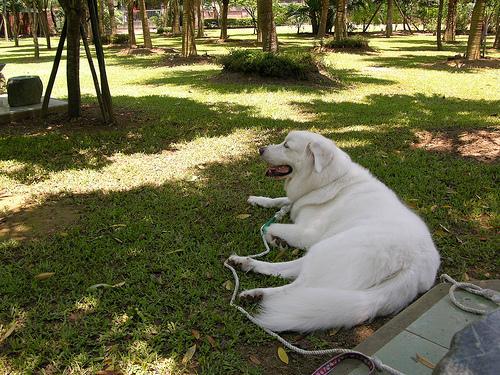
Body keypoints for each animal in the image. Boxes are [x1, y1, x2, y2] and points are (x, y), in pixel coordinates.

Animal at [229, 131, 440, 332]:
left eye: (286, 146)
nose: (261, 149)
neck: (329, 180)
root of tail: (413, 268)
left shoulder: (306, 233)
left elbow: (269, 226)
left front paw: (273, 236)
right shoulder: (296, 204)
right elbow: (282, 200)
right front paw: (259, 200)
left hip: (326, 247)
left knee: (298, 286)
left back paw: (258, 293)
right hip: (323, 252)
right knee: (288, 271)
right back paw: (246, 265)